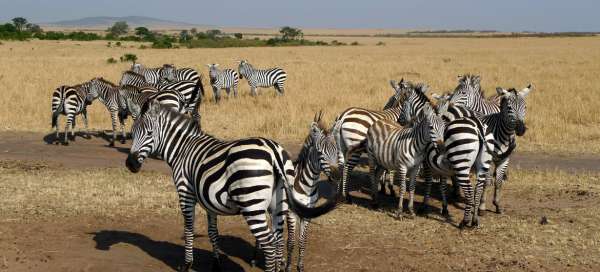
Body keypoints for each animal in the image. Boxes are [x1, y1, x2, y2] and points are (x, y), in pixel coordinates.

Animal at [125, 102, 338, 272]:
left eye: (149, 133)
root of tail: (274, 152)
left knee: (269, 244)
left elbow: (189, 227)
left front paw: (187, 264)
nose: (130, 164)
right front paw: (216, 264)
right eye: (133, 132)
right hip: (279, 204)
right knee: (278, 239)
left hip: (252, 205)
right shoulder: (208, 200)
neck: (182, 149)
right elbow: (213, 232)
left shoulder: (185, 192)